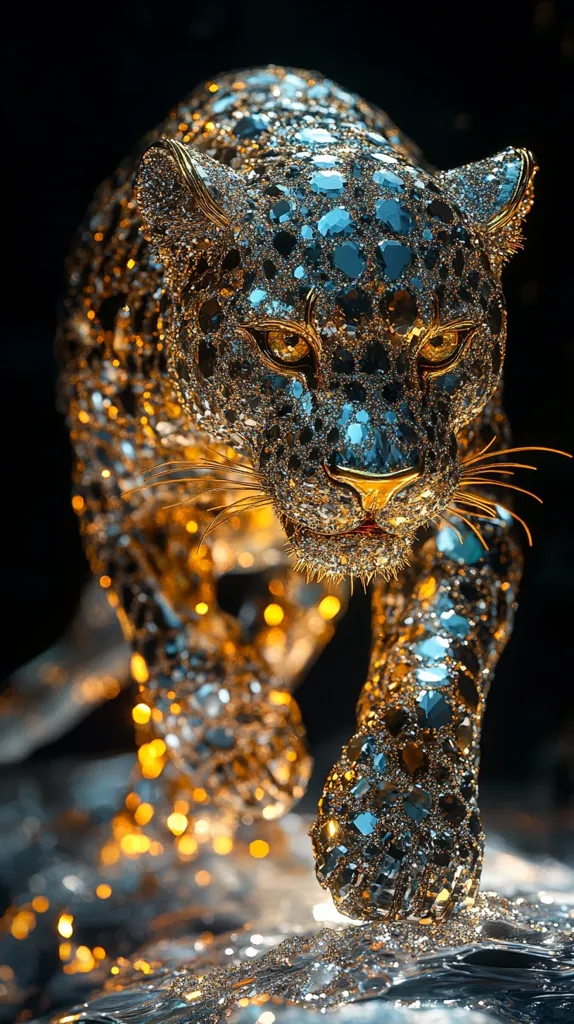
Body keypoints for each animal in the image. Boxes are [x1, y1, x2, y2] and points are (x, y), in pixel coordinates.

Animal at [58, 64, 545, 922]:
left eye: (441, 344)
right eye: (285, 343)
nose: (377, 481)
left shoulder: (470, 506)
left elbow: (438, 655)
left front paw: (401, 839)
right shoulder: (119, 486)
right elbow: (171, 620)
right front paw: (242, 747)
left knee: (294, 616)